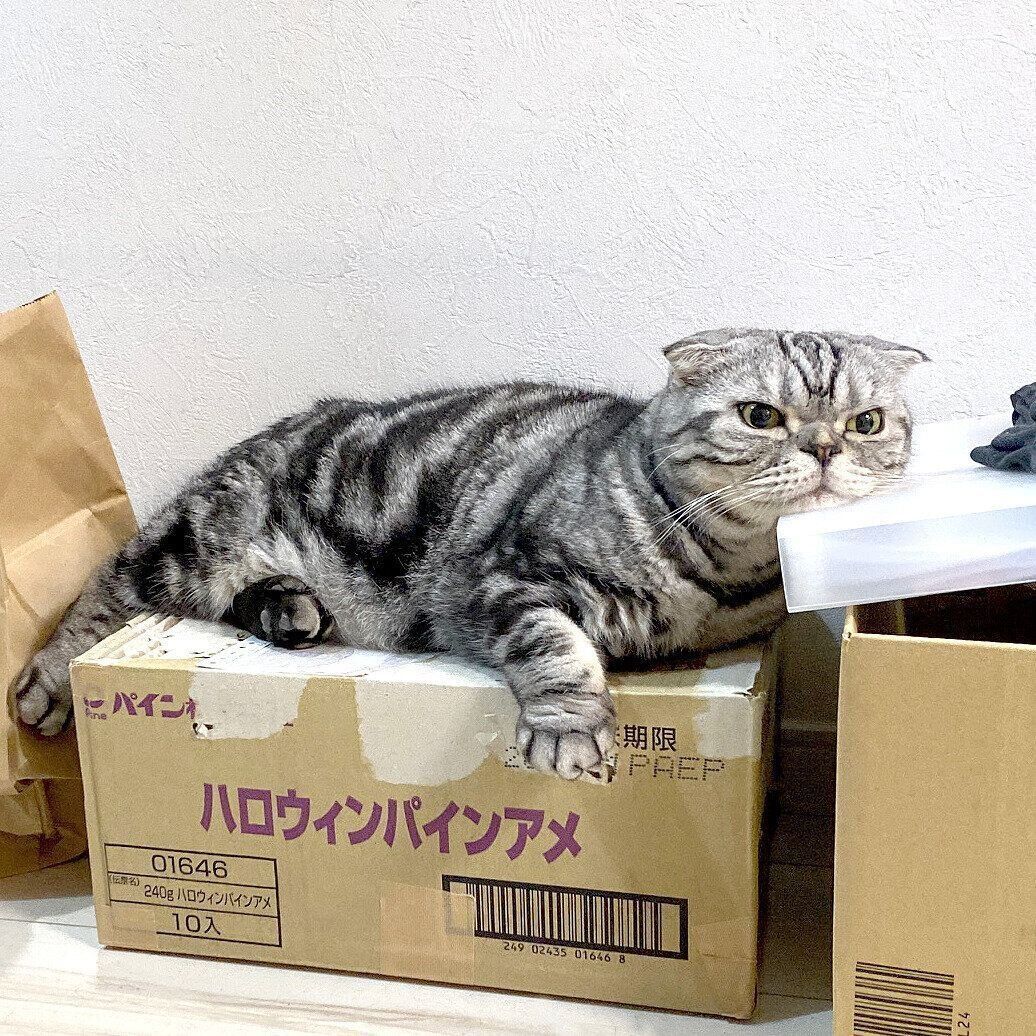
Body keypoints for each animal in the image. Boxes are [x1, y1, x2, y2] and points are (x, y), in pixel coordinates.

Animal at [15, 328, 926, 778]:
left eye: (867, 422)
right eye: (761, 416)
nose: (824, 449)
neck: (720, 578)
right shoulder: (506, 581)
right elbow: (559, 652)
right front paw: (569, 733)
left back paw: (292, 609)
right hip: (194, 540)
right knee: (101, 593)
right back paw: (45, 689)